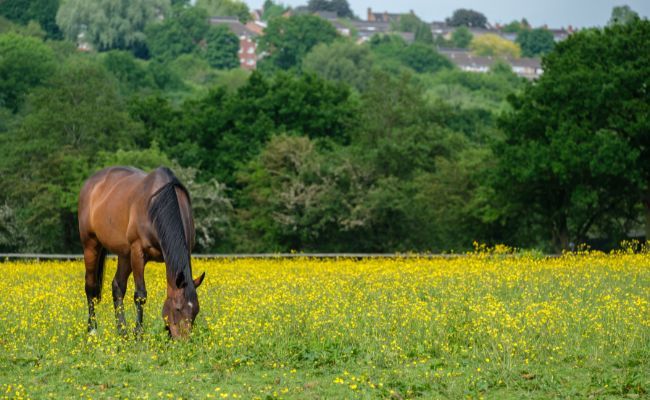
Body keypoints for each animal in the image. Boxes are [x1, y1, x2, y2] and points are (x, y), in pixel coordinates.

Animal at [78, 166, 205, 338]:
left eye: (195, 312)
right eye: (178, 308)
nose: (182, 341)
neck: (157, 207)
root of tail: (91, 183)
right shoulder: (138, 252)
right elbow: (140, 295)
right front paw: (138, 334)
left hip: (124, 254)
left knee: (117, 286)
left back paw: (122, 332)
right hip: (91, 245)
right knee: (90, 286)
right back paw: (92, 330)